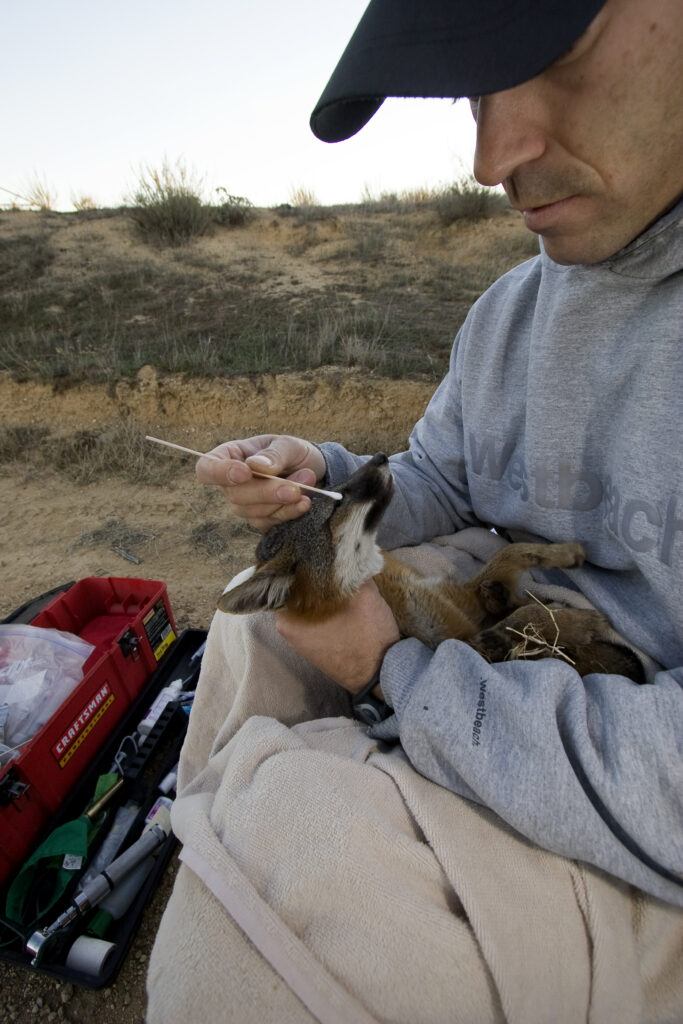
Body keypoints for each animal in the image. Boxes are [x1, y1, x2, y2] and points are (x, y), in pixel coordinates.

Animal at [219, 454, 647, 679]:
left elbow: (510, 555)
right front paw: (578, 622)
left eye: (330, 486)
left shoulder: (463, 602)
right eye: (335, 504)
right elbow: (521, 618)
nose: (380, 457)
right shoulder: (470, 645)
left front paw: (565, 552)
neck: (397, 588)